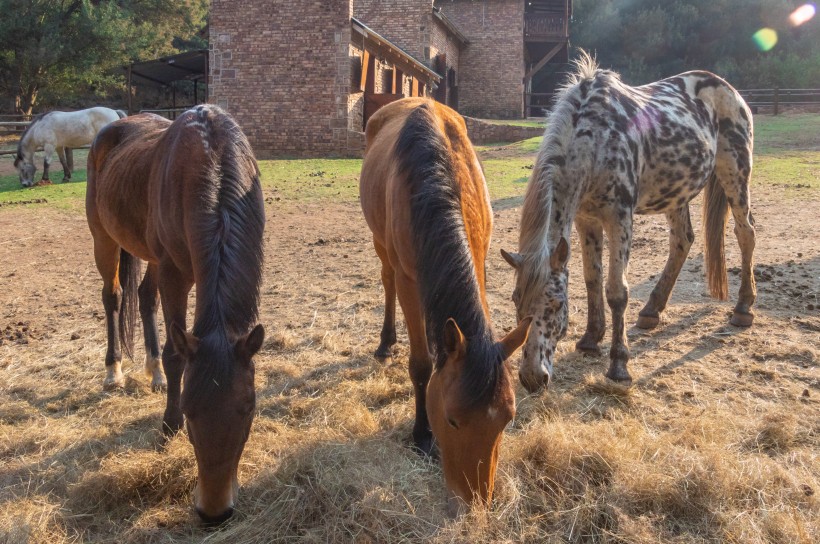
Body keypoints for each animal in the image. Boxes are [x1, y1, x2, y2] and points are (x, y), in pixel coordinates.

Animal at [83, 104, 264, 524]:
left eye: (248, 409)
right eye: (189, 410)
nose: (214, 512)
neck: (210, 159)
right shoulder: (174, 272)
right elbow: (176, 352)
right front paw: (168, 427)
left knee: (144, 297)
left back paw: (153, 373)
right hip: (104, 239)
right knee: (113, 296)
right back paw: (113, 371)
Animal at [360, 99, 532, 516]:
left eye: (508, 420)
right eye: (452, 421)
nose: (475, 502)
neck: (437, 184)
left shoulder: (481, 257)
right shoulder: (409, 279)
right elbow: (422, 365)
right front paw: (422, 436)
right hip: (380, 244)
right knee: (386, 280)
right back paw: (386, 341)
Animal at [502, 53, 760, 392]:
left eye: (556, 305)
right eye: (516, 301)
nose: (532, 377)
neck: (596, 140)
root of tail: (729, 89)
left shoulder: (619, 218)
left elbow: (616, 291)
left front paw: (619, 364)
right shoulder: (586, 219)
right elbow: (592, 279)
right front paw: (590, 339)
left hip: (735, 174)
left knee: (746, 233)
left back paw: (743, 308)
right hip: (676, 192)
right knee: (682, 240)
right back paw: (651, 311)